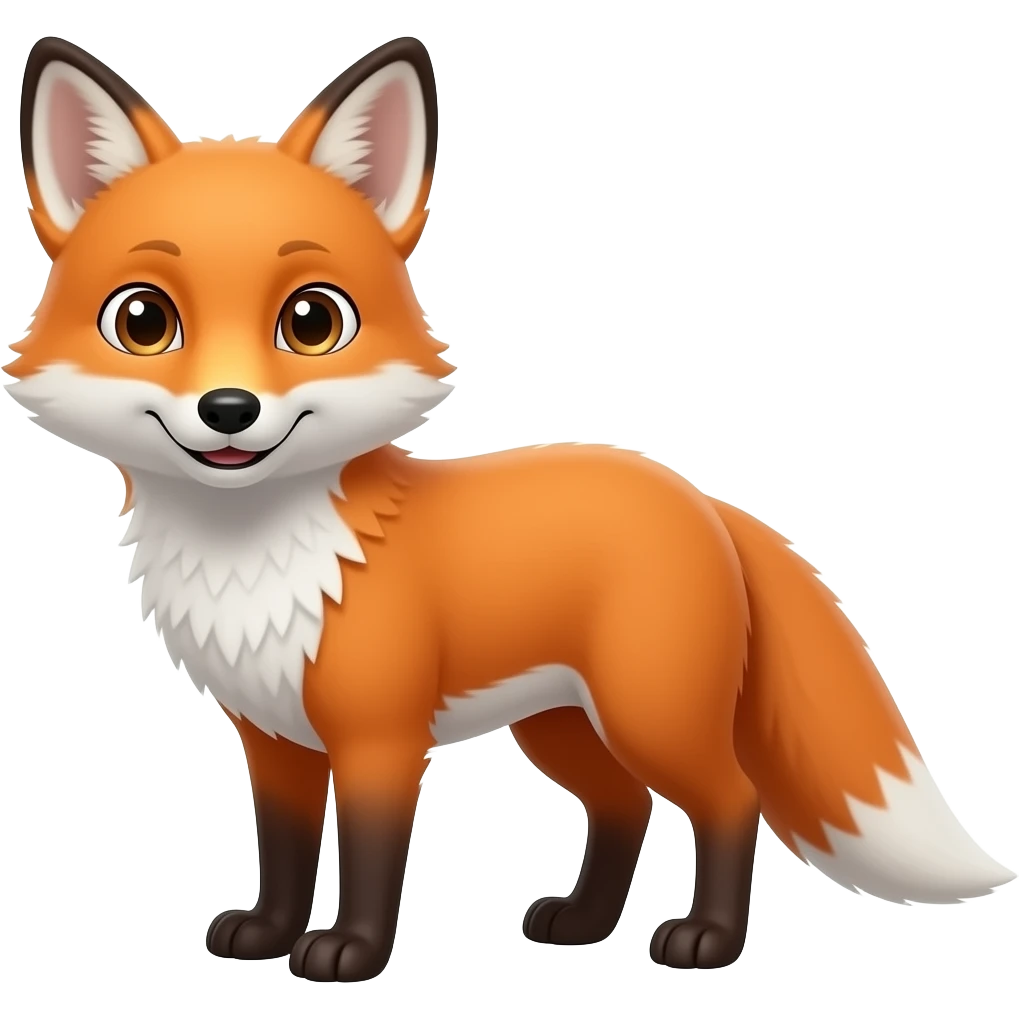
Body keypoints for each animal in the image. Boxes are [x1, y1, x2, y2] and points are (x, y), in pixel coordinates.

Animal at [7, 34, 1016, 983]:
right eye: (143, 321)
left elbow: (371, 858)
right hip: (560, 722)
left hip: (648, 713)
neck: (260, 562)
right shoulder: (274, 737)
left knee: (732, 801)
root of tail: (698, 495)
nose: (228, 409)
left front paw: (350, 952)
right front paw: (266, 932)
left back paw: (706, 939)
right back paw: (581, 922)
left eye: (312, 321)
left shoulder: (381, 738)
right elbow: (286, 851)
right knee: (623, 805)